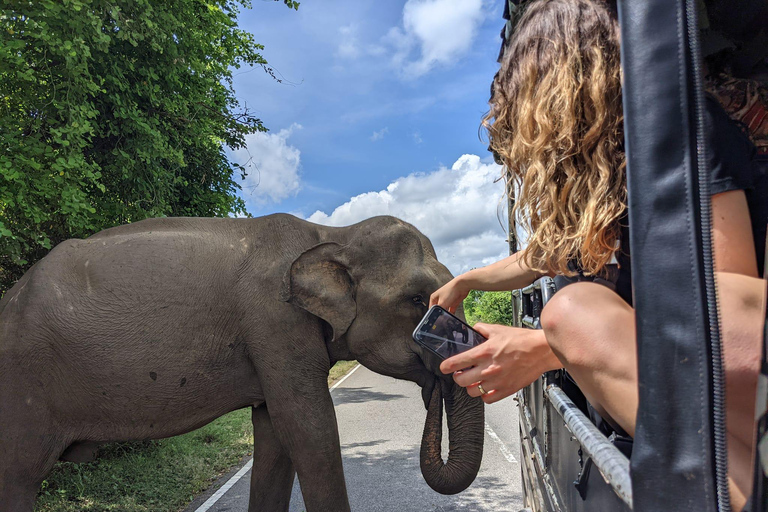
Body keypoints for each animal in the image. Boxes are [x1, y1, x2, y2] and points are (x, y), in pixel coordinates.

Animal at [0, 215, 484, 512]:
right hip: (21, 385)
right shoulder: (275, 322)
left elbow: (275, 434)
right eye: (418, 300)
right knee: (18, 475)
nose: (433, 385)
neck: (330, 234)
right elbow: (309, 428)